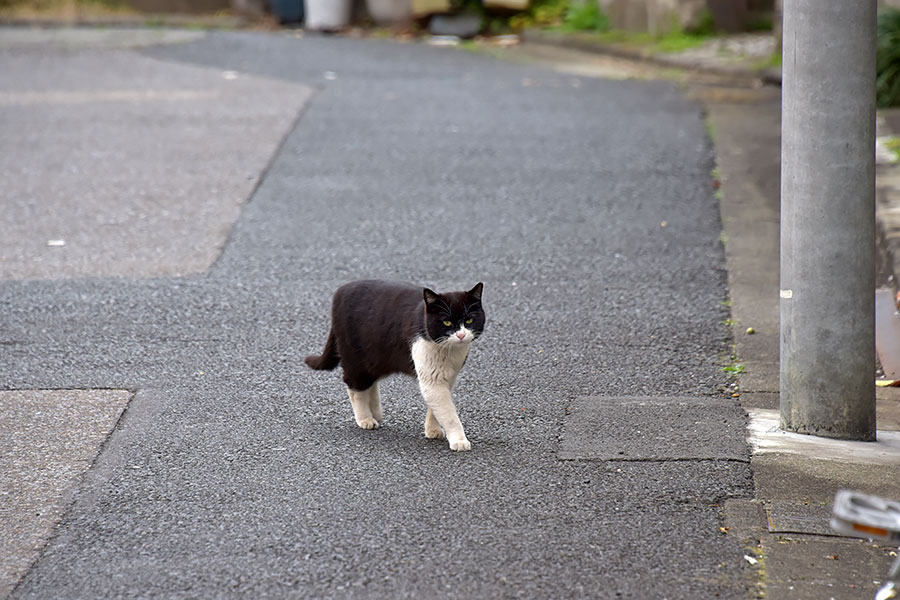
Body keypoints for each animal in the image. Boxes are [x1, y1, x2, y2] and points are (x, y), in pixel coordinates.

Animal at [304, 280, 486, 450]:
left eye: (469, 319)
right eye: (447, 322)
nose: (461, 335)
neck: (449, 351)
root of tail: (341, 290)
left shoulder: (449, 377)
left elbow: (435, 407)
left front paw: (432, 430)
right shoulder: (432, 377)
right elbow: (448, 412)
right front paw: (459, 441)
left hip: (376, 358)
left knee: (370, 382)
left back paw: (375, 412)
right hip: (355, 356)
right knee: (355, 387)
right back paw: (365, 418)